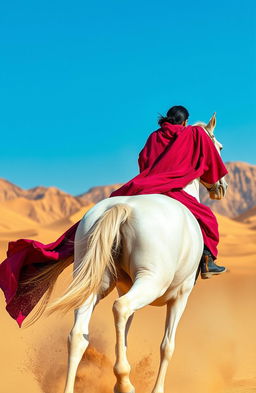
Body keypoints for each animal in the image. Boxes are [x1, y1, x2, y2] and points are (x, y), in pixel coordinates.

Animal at [45, 113, 227, 392]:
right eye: (218, 148)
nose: (222, 187)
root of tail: (122, 208)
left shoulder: (125, 286)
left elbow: (126, 337)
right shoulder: (181, 294)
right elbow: (167, 346)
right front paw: (156, 388)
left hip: (96, 282)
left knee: (78, 335)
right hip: (152, 281)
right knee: (121, 308)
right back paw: (124, 383)